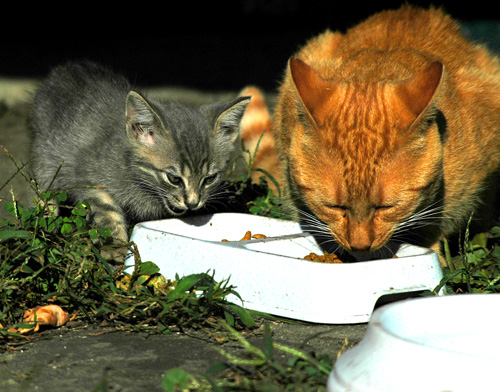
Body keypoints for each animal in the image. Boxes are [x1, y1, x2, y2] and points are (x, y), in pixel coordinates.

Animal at [30, 61, 249, 262]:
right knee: (43, 189)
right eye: (174, 178)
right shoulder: (85, 176)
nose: (193, 203)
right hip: (46, 155)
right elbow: (107, 210)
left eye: (210, 179)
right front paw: (115, 248)